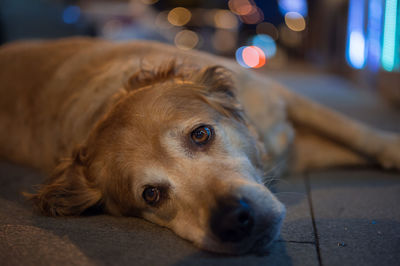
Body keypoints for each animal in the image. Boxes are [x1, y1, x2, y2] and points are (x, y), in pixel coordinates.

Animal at [0, 37, 398, 254]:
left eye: (201, 134)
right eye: (151, 195)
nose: (235, 221)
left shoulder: (281, 100)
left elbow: (358, 133)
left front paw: (390, 147)